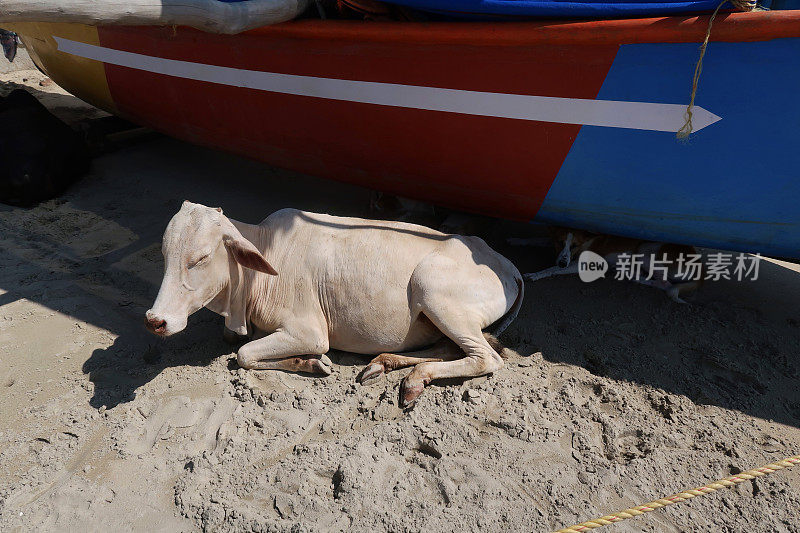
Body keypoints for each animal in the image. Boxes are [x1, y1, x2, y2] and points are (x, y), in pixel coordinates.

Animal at [146, 202, 524, 406]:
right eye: (164, 254)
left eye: (200, 259)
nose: (155, 320)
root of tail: (506, 263)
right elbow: (237, 345)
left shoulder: (309, 332)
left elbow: (243, 354)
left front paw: (312, 364)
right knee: (448, 348)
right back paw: (385, 365)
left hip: (432, 292)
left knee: (484, 357)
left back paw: (414, 377)